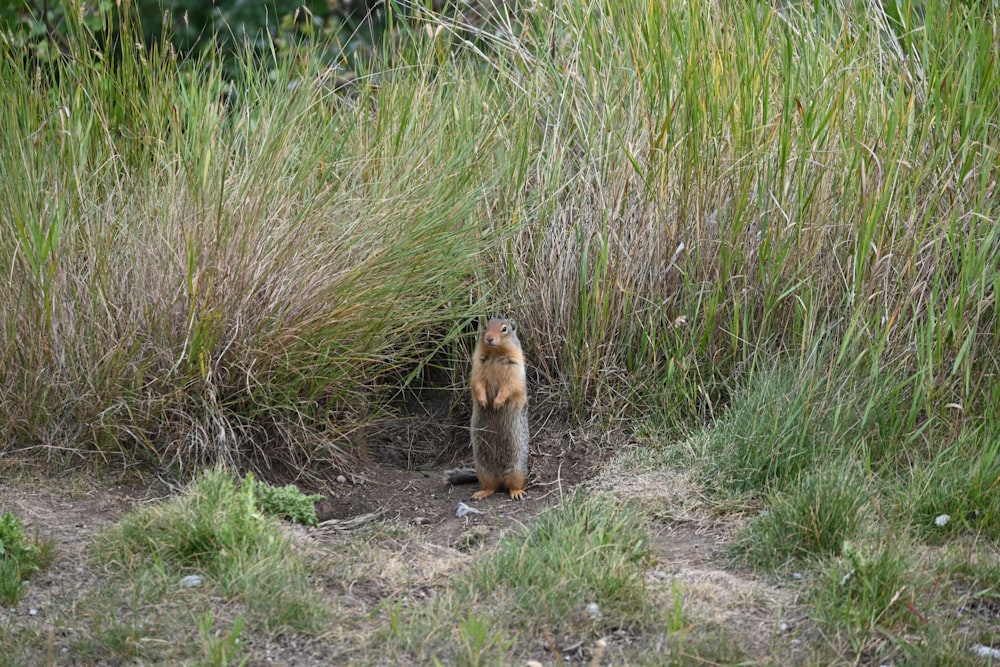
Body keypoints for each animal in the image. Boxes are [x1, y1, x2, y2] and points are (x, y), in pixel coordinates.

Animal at [446, 318, 532, 500]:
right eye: (486, 326)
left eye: (504, 329)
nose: (489, 338)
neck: (495, 354)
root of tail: (500, 477)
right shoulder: (477, 366)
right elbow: (478, 384)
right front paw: (484, 401)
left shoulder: (515, 367)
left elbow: (509, 386)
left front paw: (497, 403)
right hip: (483, 469)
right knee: (492, 487)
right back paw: (481, 493)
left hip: (516, 469)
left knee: (512, 485)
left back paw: (516, 493)